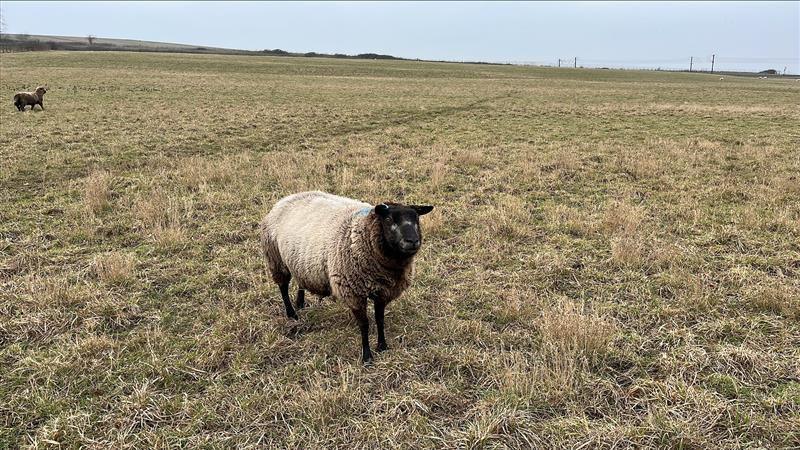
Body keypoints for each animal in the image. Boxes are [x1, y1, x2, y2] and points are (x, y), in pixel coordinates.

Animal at [260, 190, 434, 362]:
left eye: (417, 219)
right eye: (389, 219)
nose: (412, 241)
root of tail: (288, 197)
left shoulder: (383, 291)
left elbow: (380, 319)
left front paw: (382, 346)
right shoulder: (353, 293)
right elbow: (364, 325)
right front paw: (367, 357)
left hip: (299, 261)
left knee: (300, 280)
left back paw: (300, 303)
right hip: (276, 258)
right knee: (283, 287)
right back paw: (291, 314)